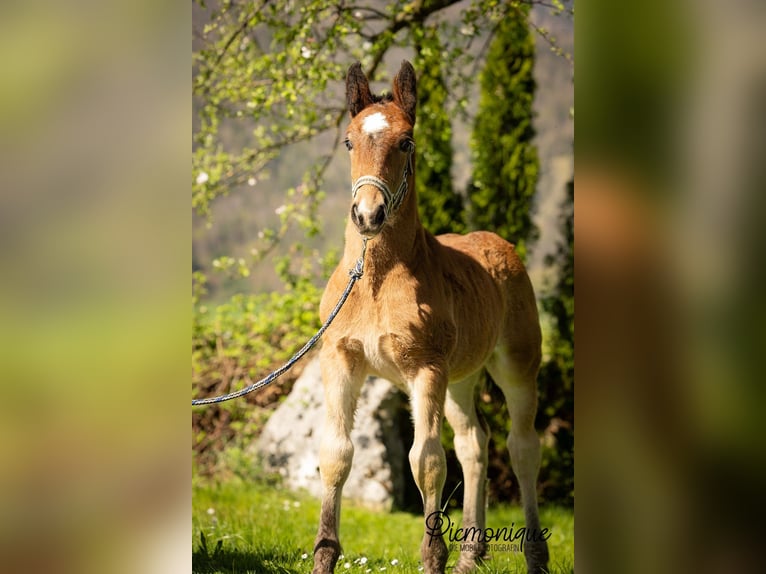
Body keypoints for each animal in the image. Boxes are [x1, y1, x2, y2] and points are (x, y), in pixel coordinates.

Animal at [314, 59, 552, 574]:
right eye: (349, 141)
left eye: (406, 142)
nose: (368, 215)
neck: (374, 279)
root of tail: (497, 243)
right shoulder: (340, 359)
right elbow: (336, 453)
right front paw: (323, 555)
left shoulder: (425, 368)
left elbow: (426, 460)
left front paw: (432, 557)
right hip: (461, 379)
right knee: (475, 443)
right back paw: (471, 555)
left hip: (516, 367)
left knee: (522, 447)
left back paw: (535, 556)